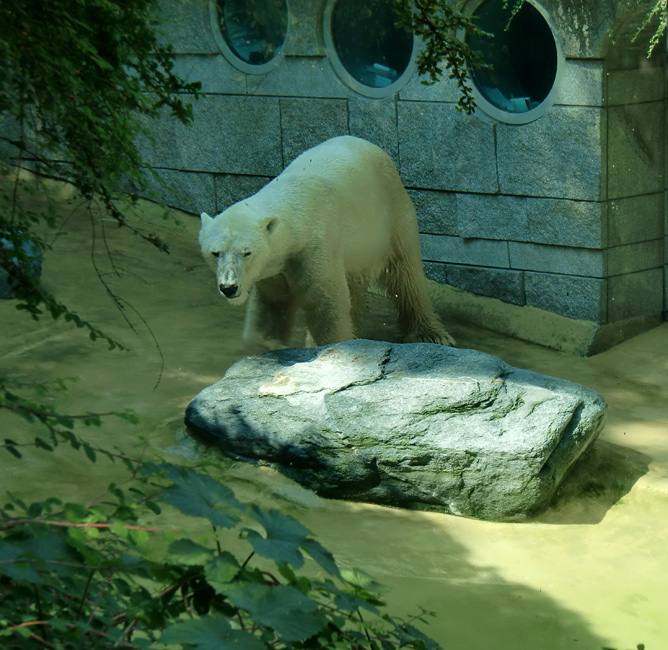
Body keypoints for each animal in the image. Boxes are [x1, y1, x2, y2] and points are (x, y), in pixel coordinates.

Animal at [198, 136, 454, 346]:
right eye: (215, 253)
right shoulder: (274, 266)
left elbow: (326, 305)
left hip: (391, 215)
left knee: (406, 273)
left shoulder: (314, 248)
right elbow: (273, 306)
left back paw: (431, 334)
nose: (229, 287)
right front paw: (266, 343)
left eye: (247, 252)